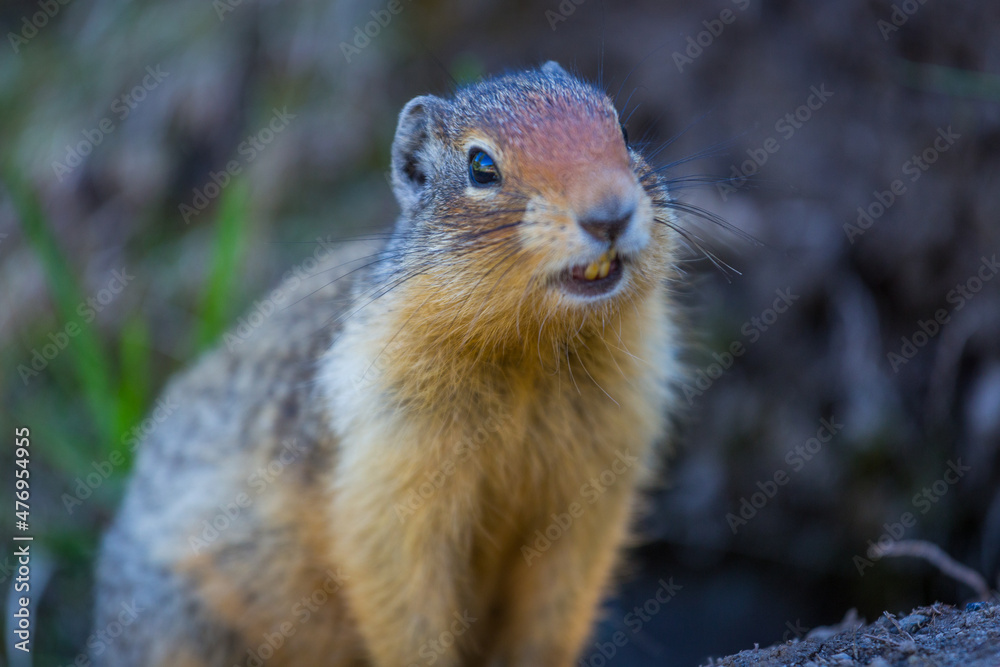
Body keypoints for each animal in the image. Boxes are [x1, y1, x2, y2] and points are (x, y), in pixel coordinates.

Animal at [94, 61, 684, 666]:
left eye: (624, 131)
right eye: (481, 166)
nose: (610, 215)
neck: (529, 358)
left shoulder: (597, 479)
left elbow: (556, 602)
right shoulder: (387, 467)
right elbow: (405, 596)